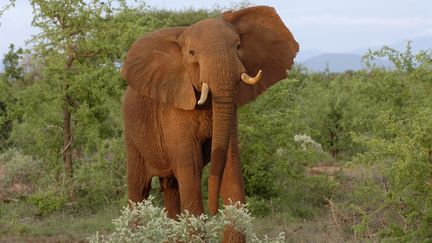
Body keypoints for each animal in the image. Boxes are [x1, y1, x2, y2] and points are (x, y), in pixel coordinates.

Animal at [120, 5, 298, 241]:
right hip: (132, 134)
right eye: (192, 53)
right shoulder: (175, 108)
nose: (214, 212)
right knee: (139, 188)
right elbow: (191, 168)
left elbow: (231, 164)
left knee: (171, 187)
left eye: (238, 47)